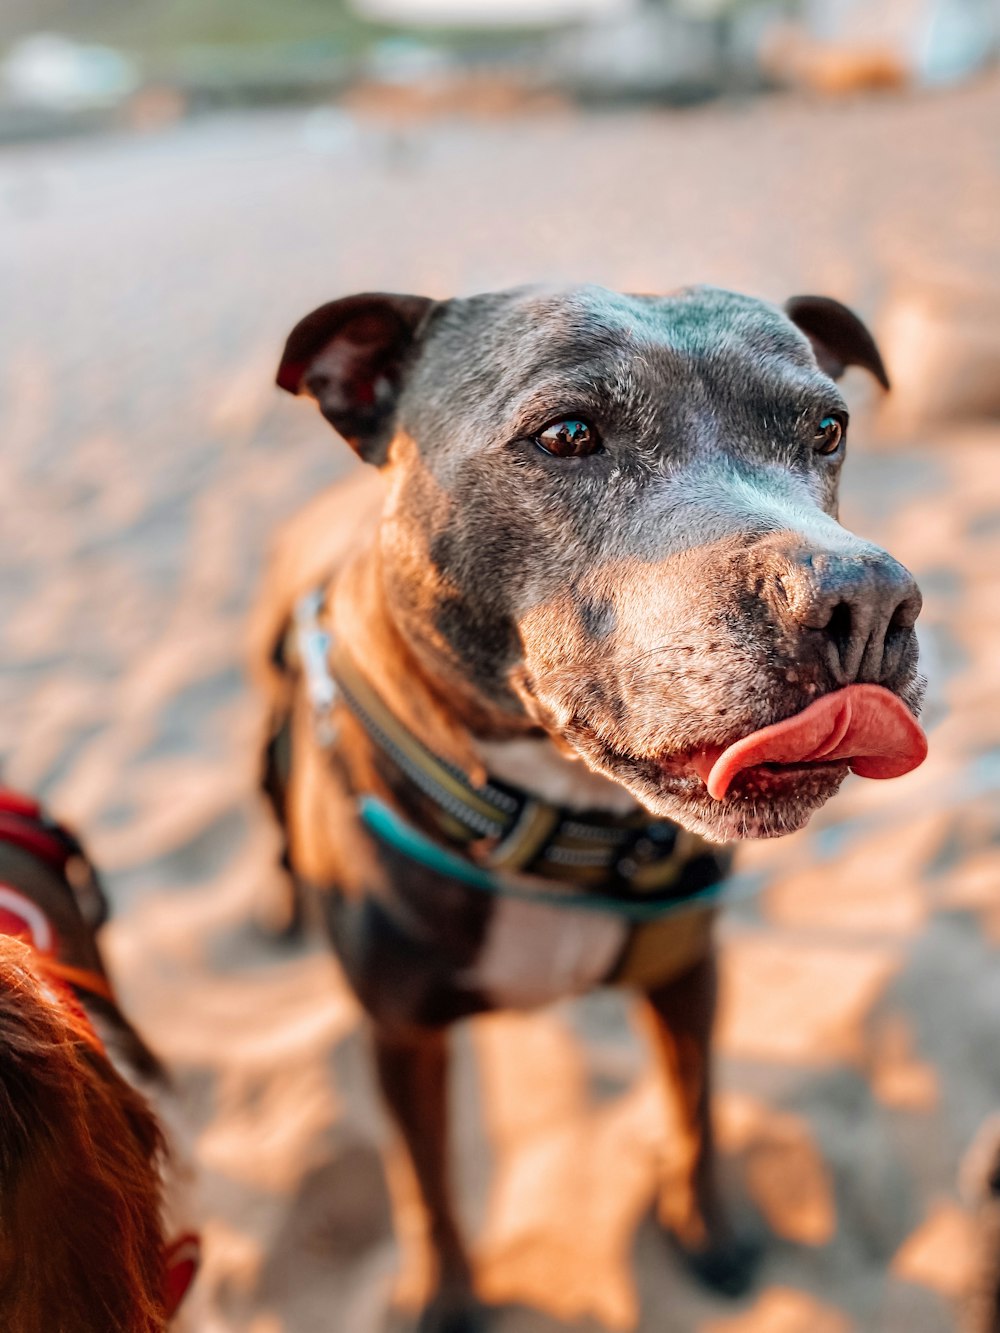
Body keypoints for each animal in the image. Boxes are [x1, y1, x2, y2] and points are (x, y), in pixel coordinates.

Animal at [252, 283, 933, 1333]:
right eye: (569, 434)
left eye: (828, 429)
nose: (867, 599)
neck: (553, 810)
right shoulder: (402, 1035)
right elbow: (426, 1183)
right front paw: (445, 1294)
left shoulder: (688, 975)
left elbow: (695, 1111)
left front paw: (706, 1228)